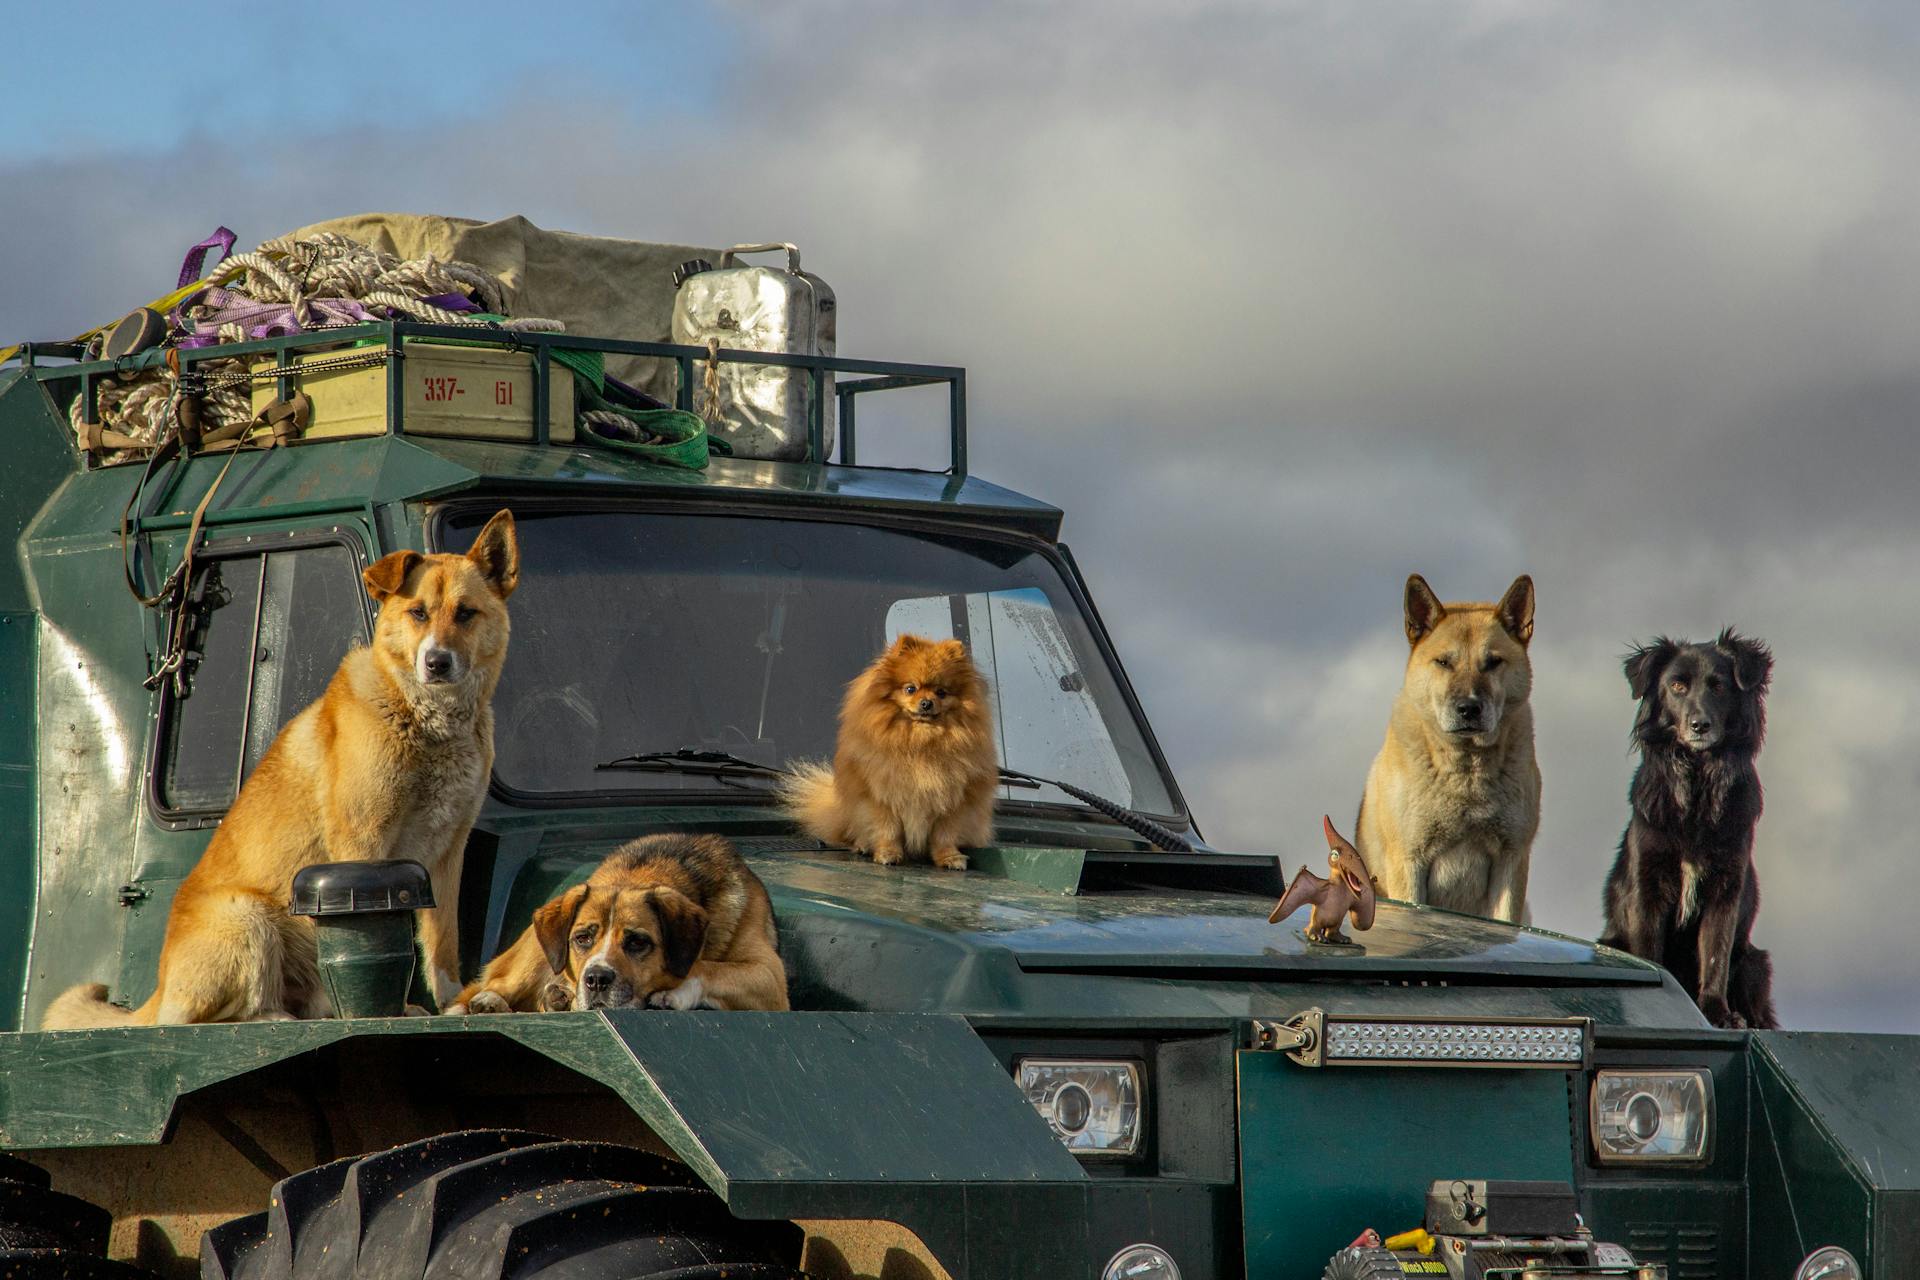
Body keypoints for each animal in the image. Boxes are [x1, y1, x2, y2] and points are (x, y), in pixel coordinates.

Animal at [44, 510, 522, 1028]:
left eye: (466, 613)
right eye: (418, 613)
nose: (436, 662)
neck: (428, 721)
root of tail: (157, 990)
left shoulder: (447, 852)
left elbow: (442, 945)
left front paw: (454, 1002)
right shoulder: (364, 845)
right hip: (248, 917)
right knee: (215, 1018)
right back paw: (280, 1018)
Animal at [443, 836, 787, 1013]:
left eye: (638, 942)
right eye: (582, 938)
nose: (596, 979)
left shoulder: (770, 978)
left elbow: (706, 966)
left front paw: (675, 991)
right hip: (532, 958)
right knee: (494, 983)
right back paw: (494, 1001)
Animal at [1359, 575, 1536, 924]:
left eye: (1493, 662)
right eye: (1443, 662)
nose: (1469, 708)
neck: (1466, 771)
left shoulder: (1511, 860)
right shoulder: (1409, 862)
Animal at [1597, 629, 1774, 1028]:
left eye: (1719, 687)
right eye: (1677, 686)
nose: (1700, 725)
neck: (1698, 783)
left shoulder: (1726, 888)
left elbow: (1715, 955)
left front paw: (1717, 1012)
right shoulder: (1647, 886)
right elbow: (1650, 953)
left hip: (1755, 962)